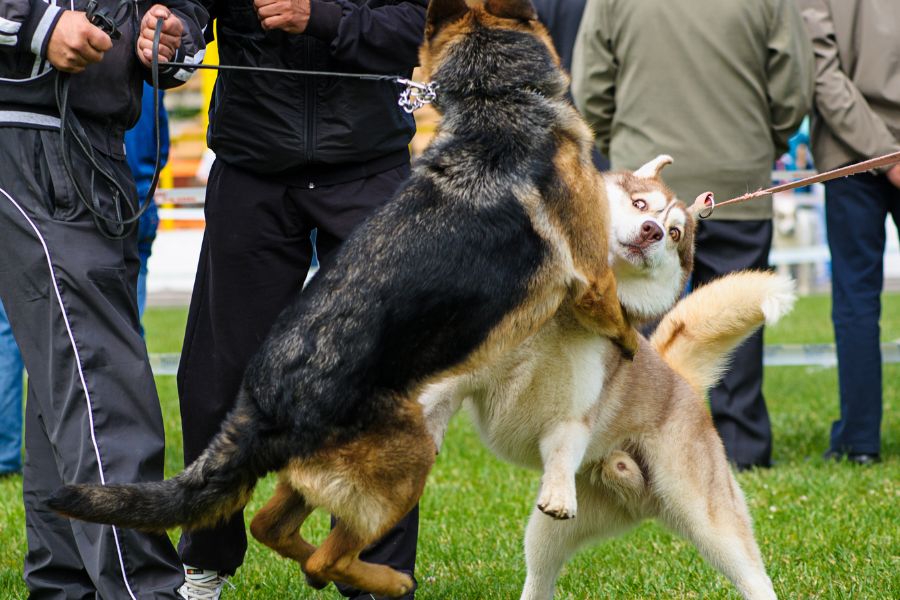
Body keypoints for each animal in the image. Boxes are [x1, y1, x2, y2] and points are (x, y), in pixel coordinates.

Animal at [51, 2, 640, 596]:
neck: (492, 98)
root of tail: (262, 402)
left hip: (332, 472)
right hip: (411, 452)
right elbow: (619, 314)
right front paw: (637, 346)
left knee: (271, 526)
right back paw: (389, 579)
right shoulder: (592, 276)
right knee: (326, 558)